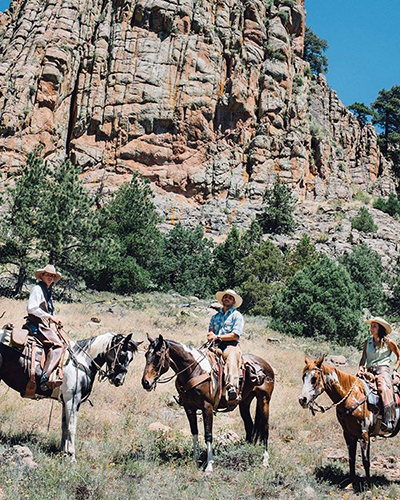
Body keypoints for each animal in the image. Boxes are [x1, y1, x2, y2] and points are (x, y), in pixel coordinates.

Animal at [0, 332, 142, 460]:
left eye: (131, 359)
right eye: (122, 355)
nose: (119, 380)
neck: (82, 362)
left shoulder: (66, 401)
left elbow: (65, 427)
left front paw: (64, 453)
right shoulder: (73, 400)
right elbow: (72, 428)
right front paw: (72, 457)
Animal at [141, 336, 276, 472]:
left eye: (158, 355)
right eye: (146, 354)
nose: (145, 382)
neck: (195, 370)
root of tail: (266, 364)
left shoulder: (207, 407)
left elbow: (208, 434)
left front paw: (209, 465)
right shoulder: (189, 408)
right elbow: (194, 431)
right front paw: (195, 459)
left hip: (264, 399)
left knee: (265, 427)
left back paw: (265, 460)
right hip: (244, 402)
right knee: (249, 425)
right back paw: (245, 450)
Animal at [298, 356, 398, 488]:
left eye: (314, 378)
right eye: (303, 377)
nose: (302, 400)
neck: (351, 397)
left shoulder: (364, 435)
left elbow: (366, 461)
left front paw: (369, 486)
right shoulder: (348, 434)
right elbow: (351, 459)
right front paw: (351, 483)